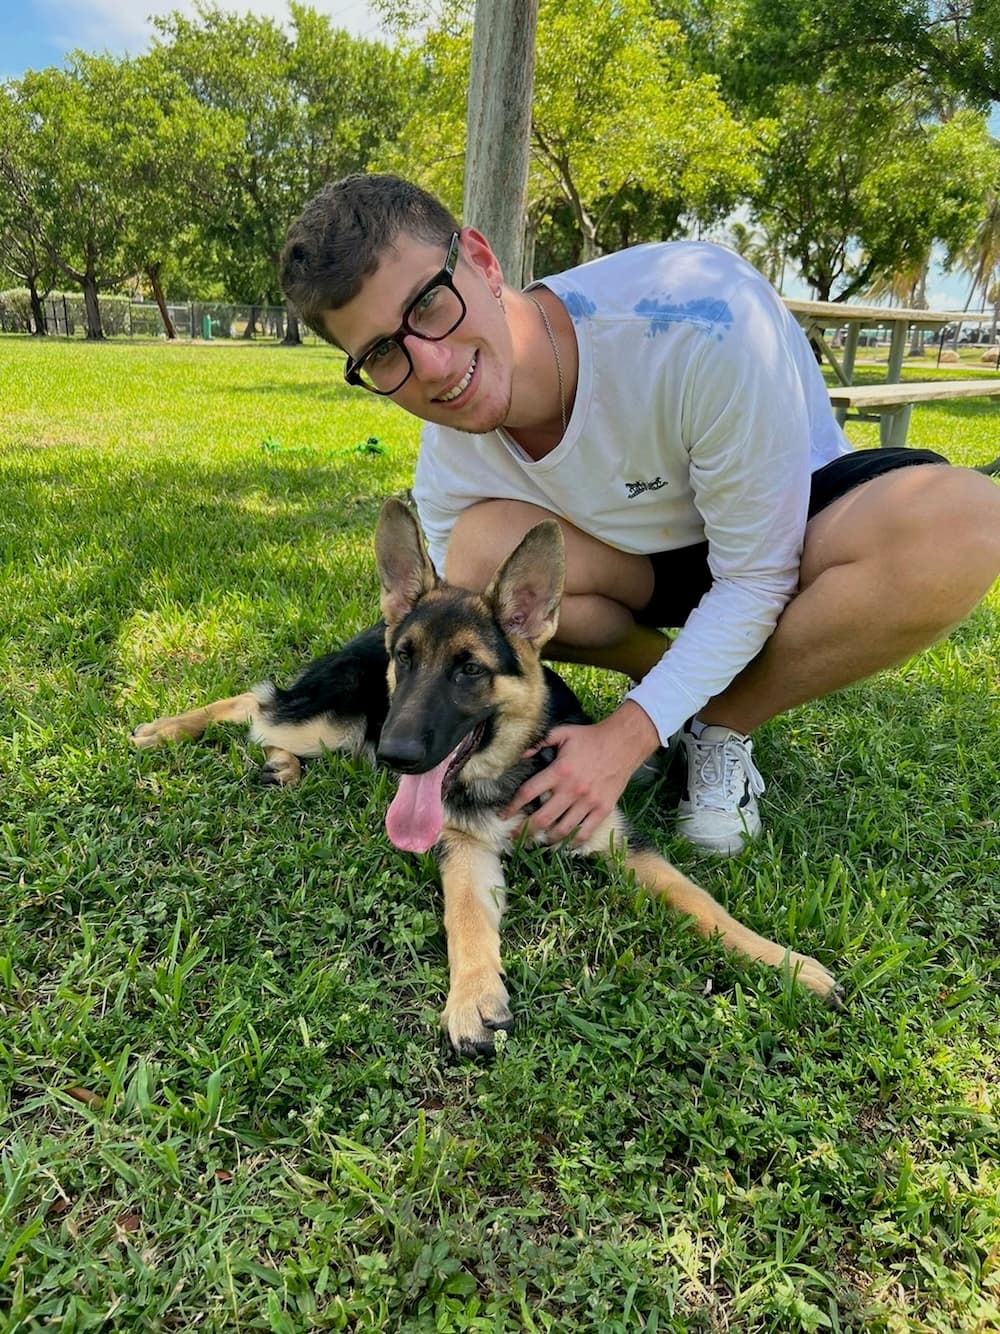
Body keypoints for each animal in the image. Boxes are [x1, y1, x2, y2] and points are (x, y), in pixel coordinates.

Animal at [129, 493, 842, 1051]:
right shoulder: (462, 848)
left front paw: (783, 962)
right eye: (407, 658)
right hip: (333, 722)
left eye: (469, 669)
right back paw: (168, 730)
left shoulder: (622, 842)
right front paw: (472, 996)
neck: (505, 773)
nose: (396, 756)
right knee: (255, 703)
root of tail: (369, 626)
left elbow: (701, 901)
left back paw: (276, 766)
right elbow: (465, 917)